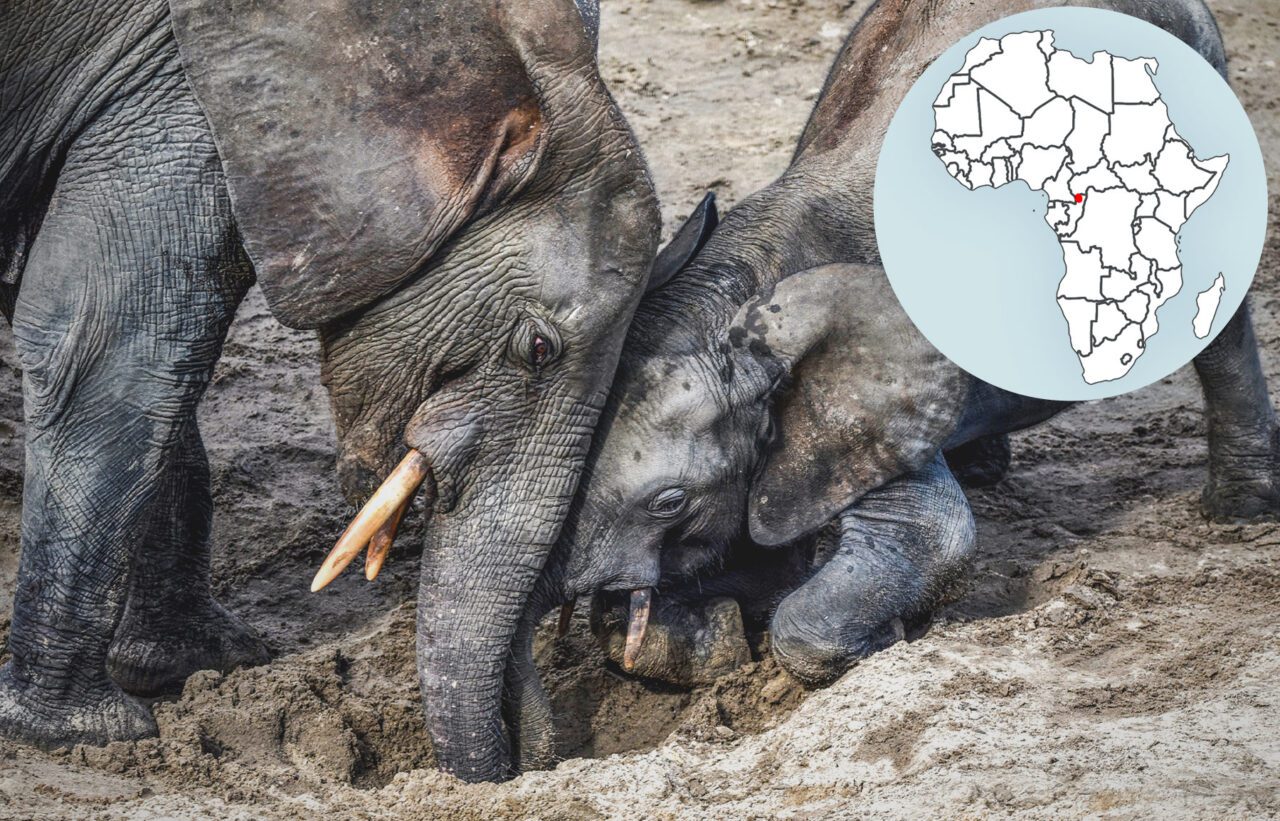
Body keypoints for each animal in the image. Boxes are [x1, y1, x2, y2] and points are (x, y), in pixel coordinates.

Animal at [0, 0, 669, 782]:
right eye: (538, 348)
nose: (528, 758)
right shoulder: (180, 85)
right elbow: (122, 345)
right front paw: (89, 733)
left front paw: (198, 666)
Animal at [529, 0, 1279, 693]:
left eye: (669, 502)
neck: (745, 296)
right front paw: (716, 633)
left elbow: (937, 535)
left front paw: (883, 637)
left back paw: (1240, 511)